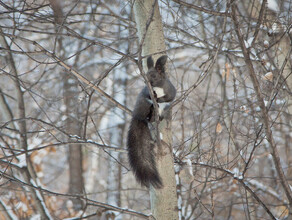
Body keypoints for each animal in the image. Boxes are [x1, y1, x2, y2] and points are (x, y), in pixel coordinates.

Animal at [127, 55, 177, 188]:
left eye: (154, 75)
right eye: (146, 74)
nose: (146, 82)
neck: (157, 88)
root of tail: (137, 116)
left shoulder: (170, 90)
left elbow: (169, 97)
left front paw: (160, 99)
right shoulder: (146, 92)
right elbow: (148, 95)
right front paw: (153, 96)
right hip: (144, 107)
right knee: (148, 115)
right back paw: (152, 114)